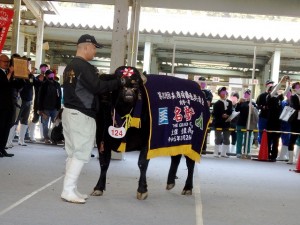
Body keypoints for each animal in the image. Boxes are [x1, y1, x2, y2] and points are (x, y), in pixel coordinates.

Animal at [90, 72, 210, 200]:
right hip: (176, 138)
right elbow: (104, 163)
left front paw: (142, 190)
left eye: (135, 84)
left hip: (193, 141)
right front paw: (98, 188)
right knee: (176, 158)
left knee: (190, 163)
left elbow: (142, 163)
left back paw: (187, 188)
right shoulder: (101, 139)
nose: (128, 90)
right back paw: (170, 182)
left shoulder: (147, 141)